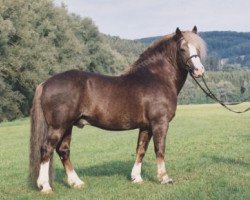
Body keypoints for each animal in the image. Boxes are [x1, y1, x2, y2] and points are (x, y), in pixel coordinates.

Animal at [29, 25, 206, 193]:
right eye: (182, 49)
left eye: (197, 49)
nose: (199, 71)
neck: (157, 78)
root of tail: (45, 83)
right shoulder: (159, 123)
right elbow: (159, 149)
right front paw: (164, 178)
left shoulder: (146, 126)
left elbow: (141, 149)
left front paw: (136, 178)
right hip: (58, 126)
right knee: (46, 149)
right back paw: (45, 186)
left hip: (67, 127)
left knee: (63, 150)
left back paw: (76, 182)